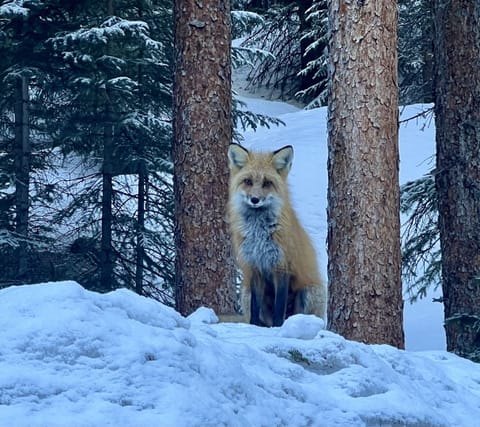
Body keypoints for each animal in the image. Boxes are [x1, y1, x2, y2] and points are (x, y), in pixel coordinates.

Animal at [226, 144, 326, 328]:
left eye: (267, 183)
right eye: (248, 181)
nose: (255, 199)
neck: (258, 233)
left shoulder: (282, 266)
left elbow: (280, 306)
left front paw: (279, 328)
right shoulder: (255, 266)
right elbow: (255, 308)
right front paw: (253, 327)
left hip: (309, 292)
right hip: (245, 292)